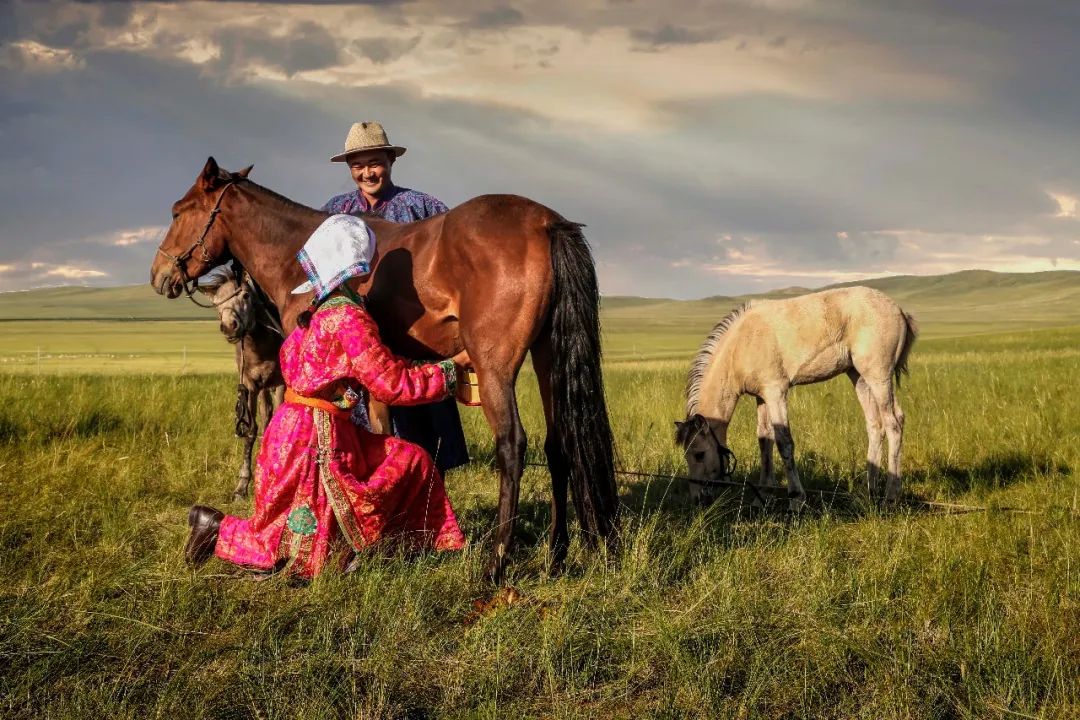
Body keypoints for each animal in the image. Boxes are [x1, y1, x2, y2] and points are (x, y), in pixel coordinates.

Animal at [198, 266, 282, 500]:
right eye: (217, 302)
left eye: (245, 295)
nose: (229, 327)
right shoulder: (250, 386)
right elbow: (251, 430)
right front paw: (241, 486)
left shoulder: (283, 383)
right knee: (266, 415)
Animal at [673, 284, 920, 505]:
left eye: (699, 454)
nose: (697, 498)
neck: (742, 345)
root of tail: (898, 309)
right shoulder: (762, 397)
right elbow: (764, 440)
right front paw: (763, 496)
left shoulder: (776, 393)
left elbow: (784, 442)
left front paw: (796, 498)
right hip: (858, 377)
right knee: (875, 425)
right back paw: (870, 490)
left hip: (878, 376)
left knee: (894, 422)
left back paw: (891, 495)